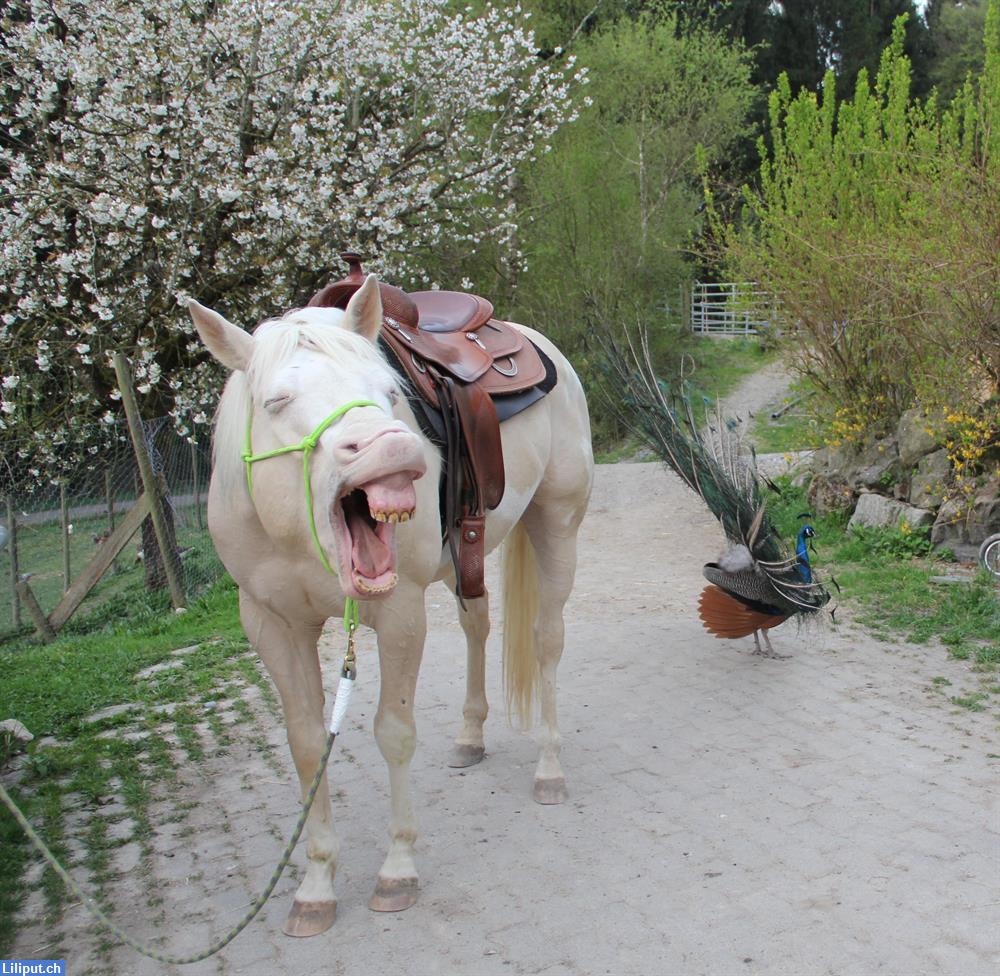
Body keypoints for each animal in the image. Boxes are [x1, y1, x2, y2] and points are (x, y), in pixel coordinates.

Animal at [188, 276, 592, 936]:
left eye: (389, 393)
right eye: (277, 400)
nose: (395, 448)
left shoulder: (399, 613)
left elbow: (394, 732)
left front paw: (397, 870)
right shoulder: (272, 624)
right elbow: (307, 744)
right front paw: (316, 884)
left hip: (555, 523)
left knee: (546, 640)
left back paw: (549, 769)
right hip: (467, 558)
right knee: (478, 624)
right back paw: (470, 735)